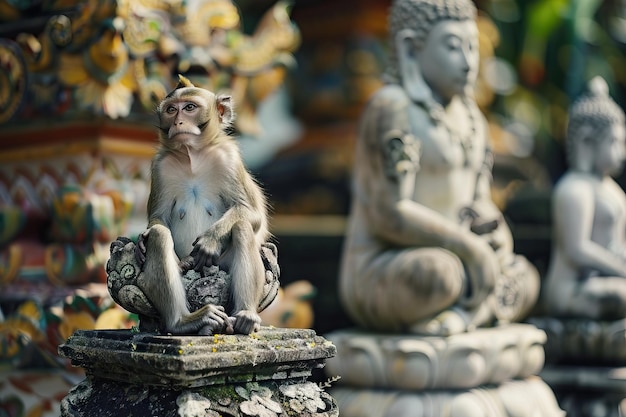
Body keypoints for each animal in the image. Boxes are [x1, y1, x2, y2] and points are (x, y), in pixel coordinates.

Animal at [135, 75, 270, 334]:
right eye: (171, 110)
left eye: (189, 107)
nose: (178, 122)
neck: (192, 157)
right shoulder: (160, 167)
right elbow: (158, 219)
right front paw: (142, 239)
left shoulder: (229, 159)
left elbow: (251, 213)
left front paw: (210, 240)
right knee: (160, 236)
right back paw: (184, 321)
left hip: (221, 264)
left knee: (242, 228)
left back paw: (246, 315)